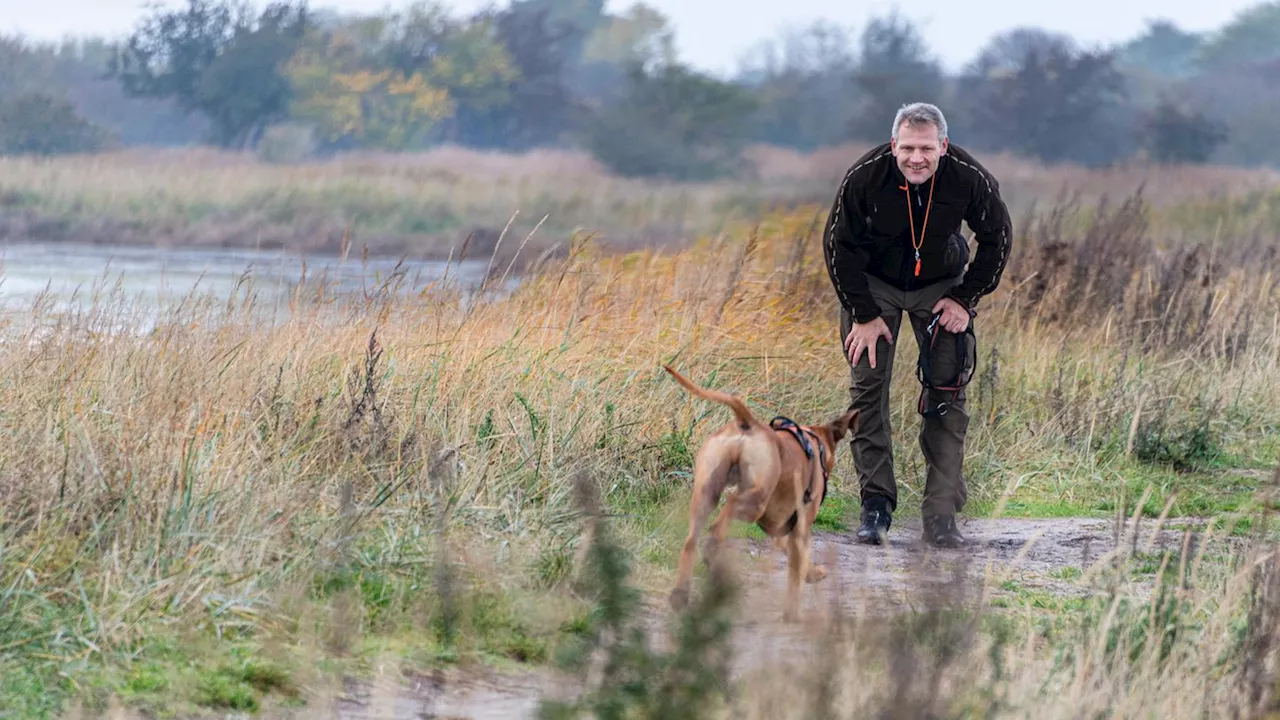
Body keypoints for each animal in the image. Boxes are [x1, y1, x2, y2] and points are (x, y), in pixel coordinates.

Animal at [660, 363, 860, 617]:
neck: (815, 444)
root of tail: (748, 422)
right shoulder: (800, 528)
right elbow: (795, 575)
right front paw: (793, 614)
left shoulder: (781, 530)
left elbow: (801, 561)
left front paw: (814, 573)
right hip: (756, 499)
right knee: (727, 510)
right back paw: (714, 550)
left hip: (705, 493)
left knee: (691, 541)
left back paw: (681, 593)